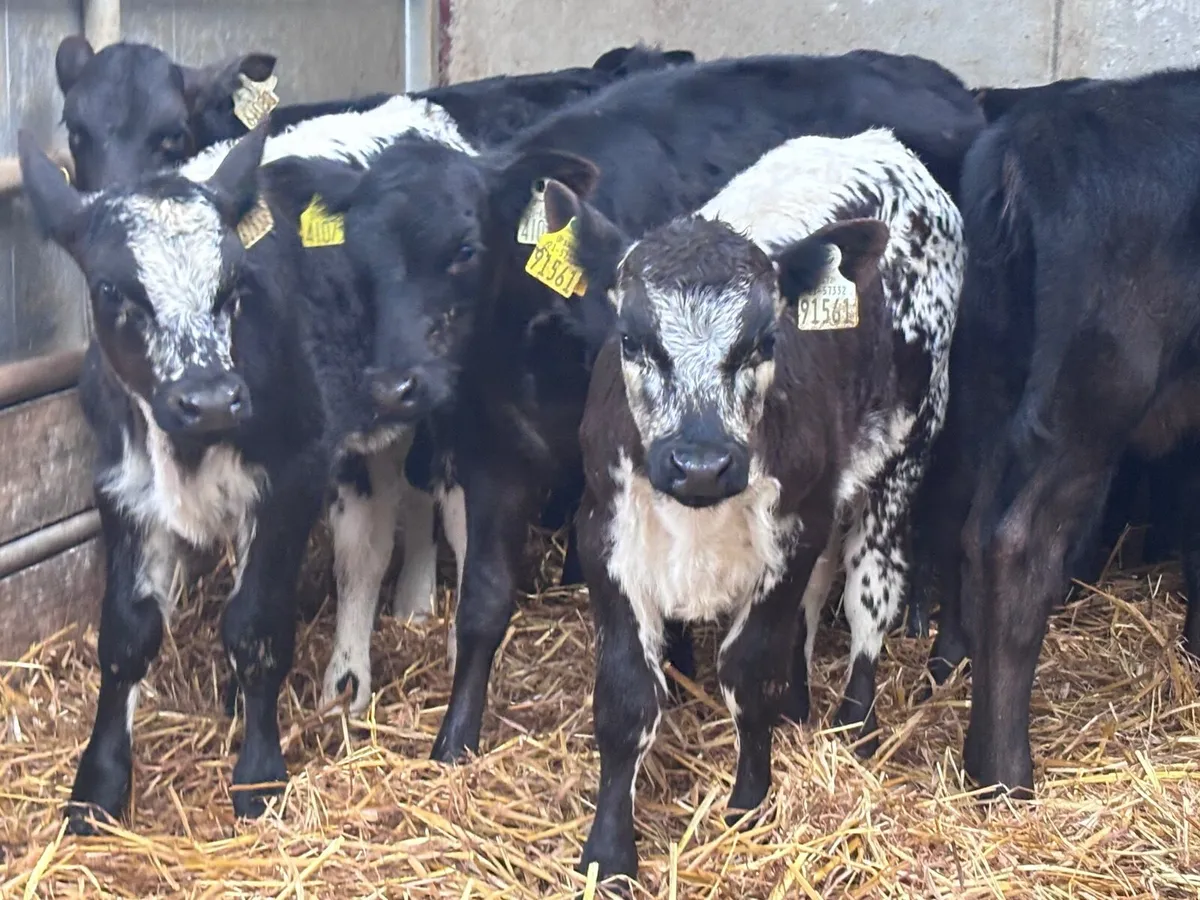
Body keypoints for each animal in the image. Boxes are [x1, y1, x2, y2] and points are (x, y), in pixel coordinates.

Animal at [300, 50, 984, 766]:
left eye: (464, 249)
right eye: (358, 257)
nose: (391, 386)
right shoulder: (495, 457)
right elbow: (483, 602)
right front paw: (456, 737)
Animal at [531, 128, 964, 886]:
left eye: (764, 341)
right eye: (632, 340)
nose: (701, 462)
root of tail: (879, 144)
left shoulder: (793, 531)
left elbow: (749, 670)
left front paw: (751, 799)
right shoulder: (605, 534)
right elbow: (625, 698)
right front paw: (609, 851)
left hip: (906, 453)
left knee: (870, 591)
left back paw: (855, 721)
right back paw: (803, 702)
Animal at [913, 69, 1200, 799]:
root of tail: (1028, 140)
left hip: (986, 364)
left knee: (961, 510)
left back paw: (952, 666)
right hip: (1092, 384)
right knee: (1017, 543)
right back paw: (1003, 772)